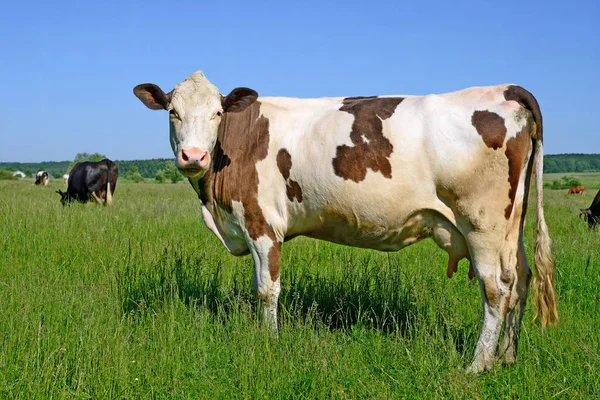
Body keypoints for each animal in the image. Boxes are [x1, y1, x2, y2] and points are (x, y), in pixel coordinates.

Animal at [132, 71, 556, 372]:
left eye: (217, 112)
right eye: (173, 112)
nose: (193, 156)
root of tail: (504, 89)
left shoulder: (262, 224)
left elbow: (267, 289)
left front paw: (269, 343)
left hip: (483, 223)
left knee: (497, 289)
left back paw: (478, 365)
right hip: (510, 226)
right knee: (521, 277)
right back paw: (507, 357)